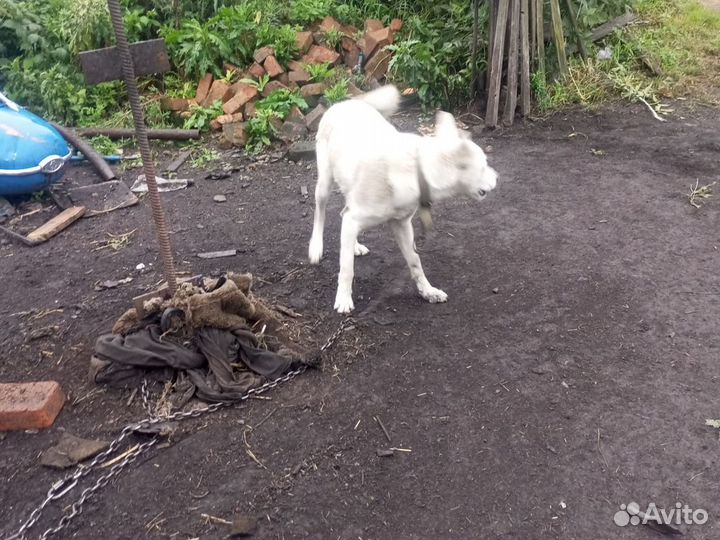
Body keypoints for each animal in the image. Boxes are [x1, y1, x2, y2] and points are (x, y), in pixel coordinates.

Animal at [306, 86, 498, 314]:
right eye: (485, 165)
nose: (498, 178)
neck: (416, 171)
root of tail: (345, 102)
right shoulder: (355, 220)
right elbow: (346, 268)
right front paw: (343, 299)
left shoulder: (401, 225)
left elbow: (415, 261)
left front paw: (428, 292)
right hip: (324, 184)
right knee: (320, 212)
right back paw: (316, 248)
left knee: (343, 214)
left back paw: (355, 246)